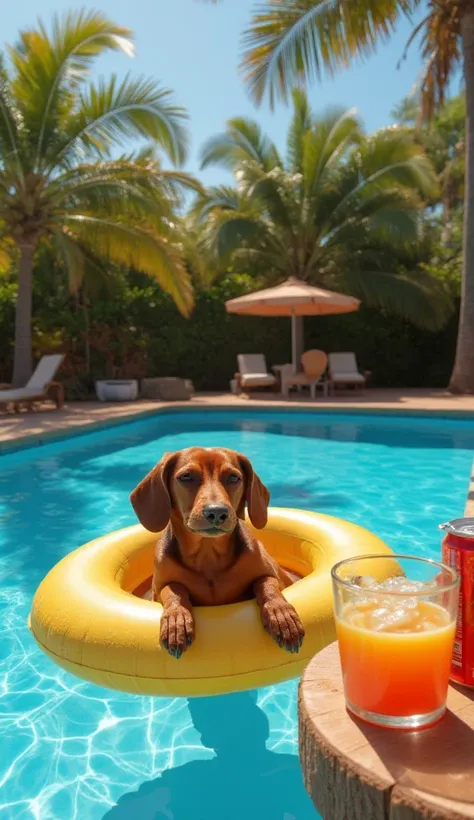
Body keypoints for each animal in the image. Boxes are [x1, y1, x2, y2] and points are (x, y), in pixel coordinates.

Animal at [131, 448, 306, 660]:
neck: (208, 557)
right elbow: (173, 590)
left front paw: (282, 617)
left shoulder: (271, 575)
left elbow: (267, 584)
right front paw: (176, 622)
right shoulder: (159, 589)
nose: (216, 512)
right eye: (186, 476)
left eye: (233, 477)